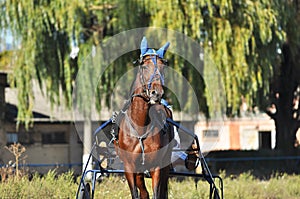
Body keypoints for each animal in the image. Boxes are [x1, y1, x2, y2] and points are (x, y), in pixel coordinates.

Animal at [113, 36, 175, 198]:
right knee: (143, 192)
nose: (156, 93)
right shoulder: (129, 167)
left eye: (163, 67)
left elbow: (157, 193)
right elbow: (136, 193)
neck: (140, 124)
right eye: (144, 67)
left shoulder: (157, 166)